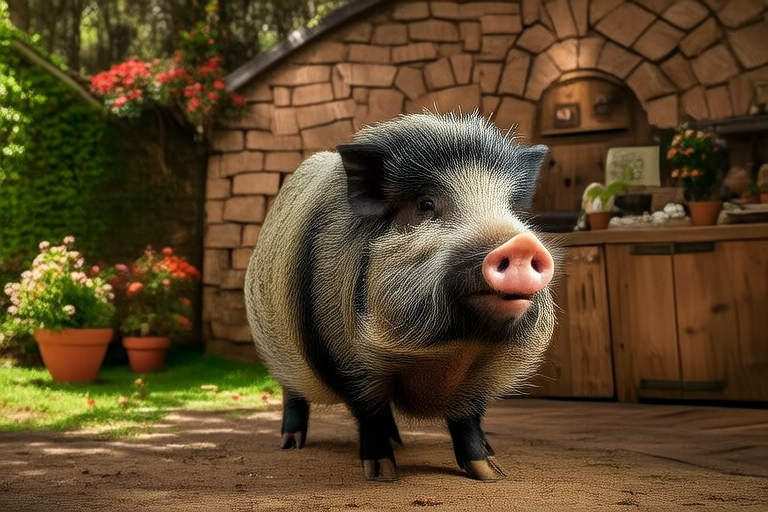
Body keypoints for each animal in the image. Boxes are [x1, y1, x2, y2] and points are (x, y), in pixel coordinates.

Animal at [244, 111, 557, 482]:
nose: (521, 244)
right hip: (279, 358)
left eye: (510, 208)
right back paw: (291, 445)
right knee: (293, 396)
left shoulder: (481, 379)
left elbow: (467, 421)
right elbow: (370, 412)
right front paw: (381, 474)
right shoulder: (346, 361)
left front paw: (492, 474)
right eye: (426, 204)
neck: (454, 351)